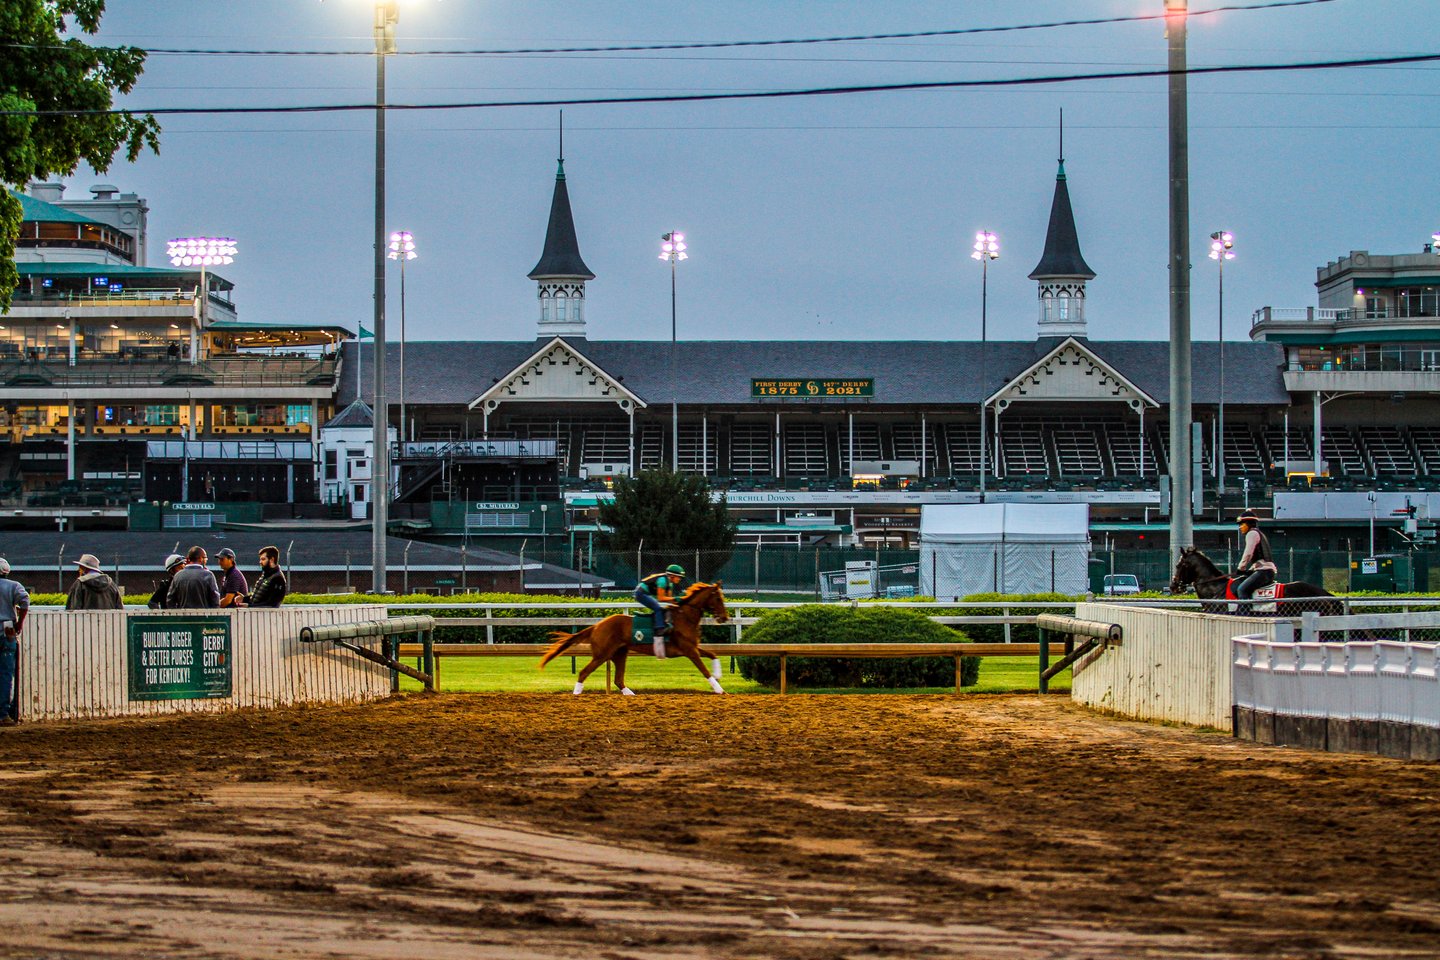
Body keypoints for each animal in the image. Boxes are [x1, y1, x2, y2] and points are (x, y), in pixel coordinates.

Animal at [541, 581, 731, 693]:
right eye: (718, 598)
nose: (724, 618)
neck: (684, 617)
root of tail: (597, 626)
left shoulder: (692, 647)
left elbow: (713, 654)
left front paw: (719, 673)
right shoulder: (689, 650)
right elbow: (704, 670)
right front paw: (719, 689)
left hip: (619, 654)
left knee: (618, 680)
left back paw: (631, 694)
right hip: (602, 654)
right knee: (584, 672)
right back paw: (576, 694)